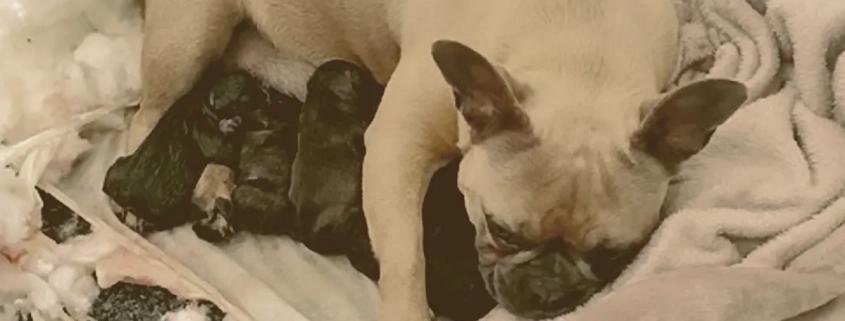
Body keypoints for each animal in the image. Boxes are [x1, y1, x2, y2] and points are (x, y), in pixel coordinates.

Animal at [290, 58, 382, 278]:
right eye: (364, 79)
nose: (380, 86)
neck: (324, 96)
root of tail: (307, 237)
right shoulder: (360, 128)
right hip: (355, 216)